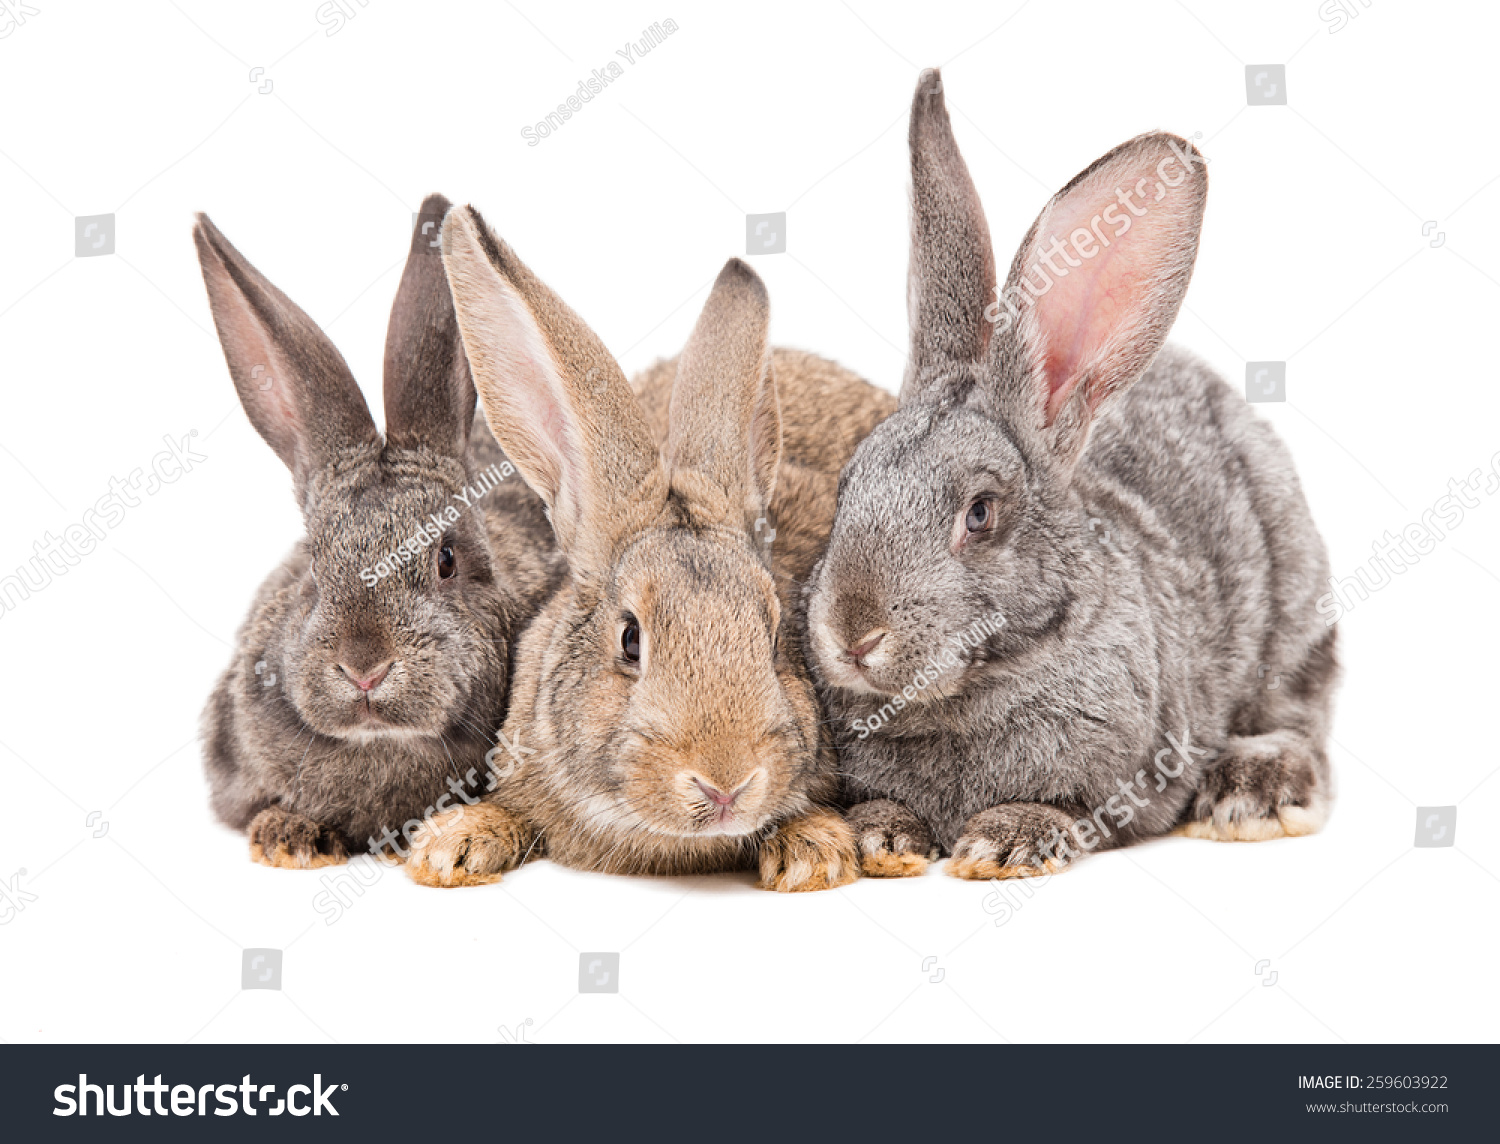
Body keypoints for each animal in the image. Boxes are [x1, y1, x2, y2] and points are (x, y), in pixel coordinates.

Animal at [804, 73, 1344, 887]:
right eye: (846, 485)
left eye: (980, 513)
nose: (853, 634)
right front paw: (881, 838)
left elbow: (1068, 810)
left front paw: (1004, 843)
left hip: (1293, 618)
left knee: (1298, 720)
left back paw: (1253, 793)